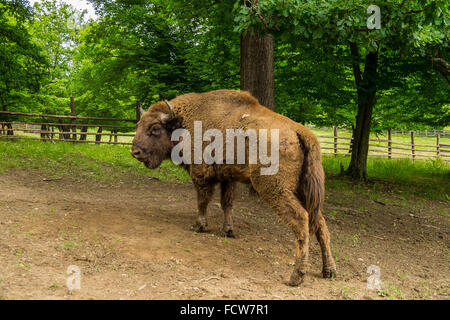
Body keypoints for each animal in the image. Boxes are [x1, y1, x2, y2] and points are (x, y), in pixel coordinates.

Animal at [130, 89, 334, 286]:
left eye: (155, 128)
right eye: (138, 125)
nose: (135, 152)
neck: (185, 123)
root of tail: (301, 132)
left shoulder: (201, 175)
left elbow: (202, 201)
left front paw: (198, 226)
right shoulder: (228, 178)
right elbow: (226, 203)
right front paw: (227, 230)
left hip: (276, 189)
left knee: (301, 219)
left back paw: (296, 276)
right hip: (305, 191)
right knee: (320, 223)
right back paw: (329, 270)